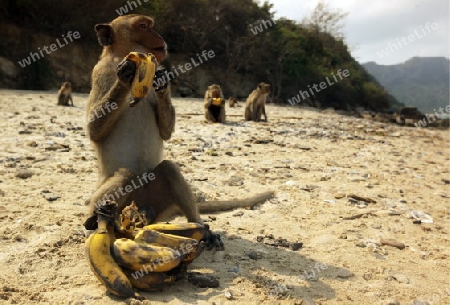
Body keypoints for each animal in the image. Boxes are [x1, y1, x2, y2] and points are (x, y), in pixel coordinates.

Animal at [84, 14, 274, 232]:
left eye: (151, 25)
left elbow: (166, 133)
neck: (120, 56)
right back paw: (96, 221)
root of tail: (137, 209)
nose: (159, 37)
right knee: (126, 174)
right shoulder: (100, 73)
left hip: (157, 206)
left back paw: (199, 226)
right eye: (143, 26)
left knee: (169, 169)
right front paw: (126, 74)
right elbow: (94, 130)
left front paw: (161, 80)